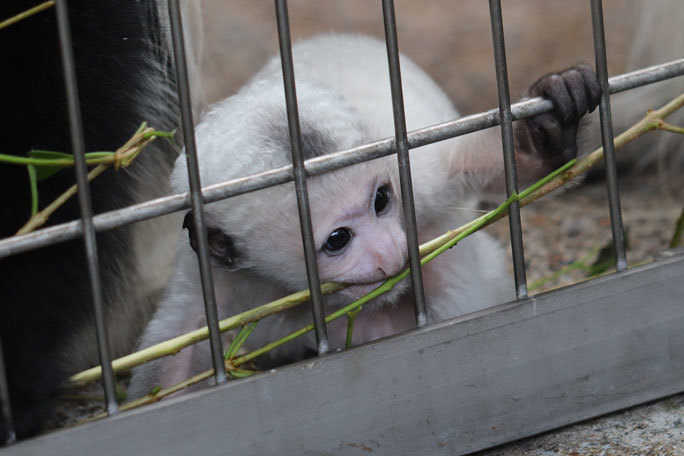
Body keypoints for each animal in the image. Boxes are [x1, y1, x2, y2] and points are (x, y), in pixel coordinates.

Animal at [130, 34, 600, 400]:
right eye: (338, 239)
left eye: (381, 200)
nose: (390, 250)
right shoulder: (213, 274)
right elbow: (173, 358)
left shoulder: (413, 178)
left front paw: (548, 128)